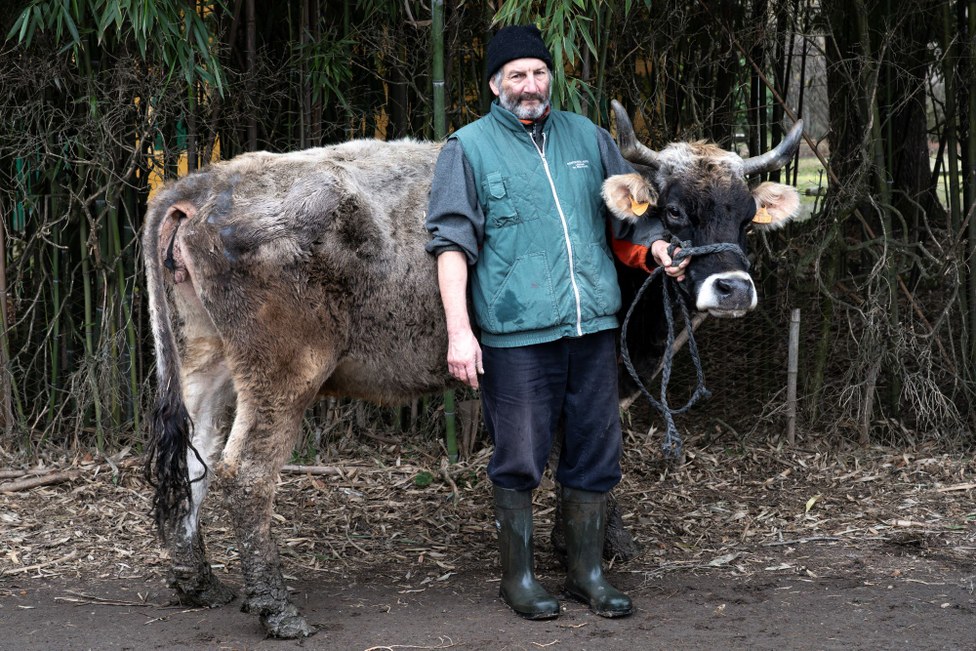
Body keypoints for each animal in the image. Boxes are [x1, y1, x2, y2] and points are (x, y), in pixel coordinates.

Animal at [143, 103, 800, 640]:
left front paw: (569, 545)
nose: (733, 287)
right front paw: (611, 545)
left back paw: (197, 580)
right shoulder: (607, 375)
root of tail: (208, 179)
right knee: (245, 472)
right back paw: (275, 607)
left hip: (206, 360)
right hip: (283, 372)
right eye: (675, 213)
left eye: (746, 218)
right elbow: (590, 460)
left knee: (196, 459)